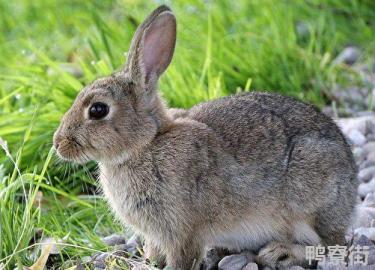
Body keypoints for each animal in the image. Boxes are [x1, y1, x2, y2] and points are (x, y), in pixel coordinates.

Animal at [53, 4, 358, 270]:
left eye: (98, 110)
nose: (58, 144)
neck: (147, 144)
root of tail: (352, 182)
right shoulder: (157, 233)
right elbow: (154, 251)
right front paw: (148, 262)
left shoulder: (182, 230)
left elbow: (182, 258)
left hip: (310, 200)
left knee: (330, 246)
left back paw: (279, 253)